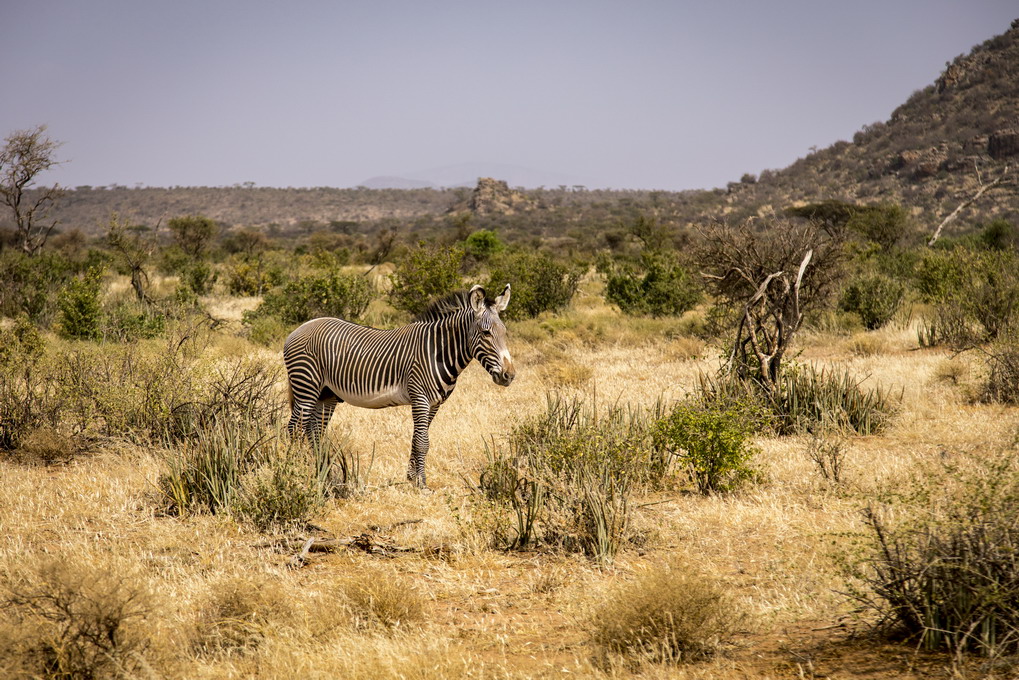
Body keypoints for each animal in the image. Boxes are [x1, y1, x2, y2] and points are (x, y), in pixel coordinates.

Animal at [283, 284, 514, 488]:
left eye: (505, 332)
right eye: (486, 333)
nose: (509, 375)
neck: (438, 352)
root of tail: (301, 327)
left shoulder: (435, 404)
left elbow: (417, 439)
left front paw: (412, 478)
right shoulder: (420, 397)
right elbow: (422, 442)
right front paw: (421, 484)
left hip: (326, 395)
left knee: (314, 431)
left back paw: (323, 475)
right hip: (306, 387)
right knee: (294, 429)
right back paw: (291, 471)